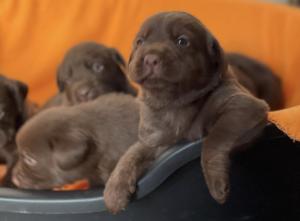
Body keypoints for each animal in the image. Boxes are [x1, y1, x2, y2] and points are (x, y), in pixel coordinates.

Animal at [103, 11, 270, 213]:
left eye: (182, 41)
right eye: (139, 42)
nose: (150, 59)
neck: (173, 103)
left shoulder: (244, 104)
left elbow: (215, 138)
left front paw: (216, 183)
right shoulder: (153, 138)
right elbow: (132, 153)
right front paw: (114, 191)